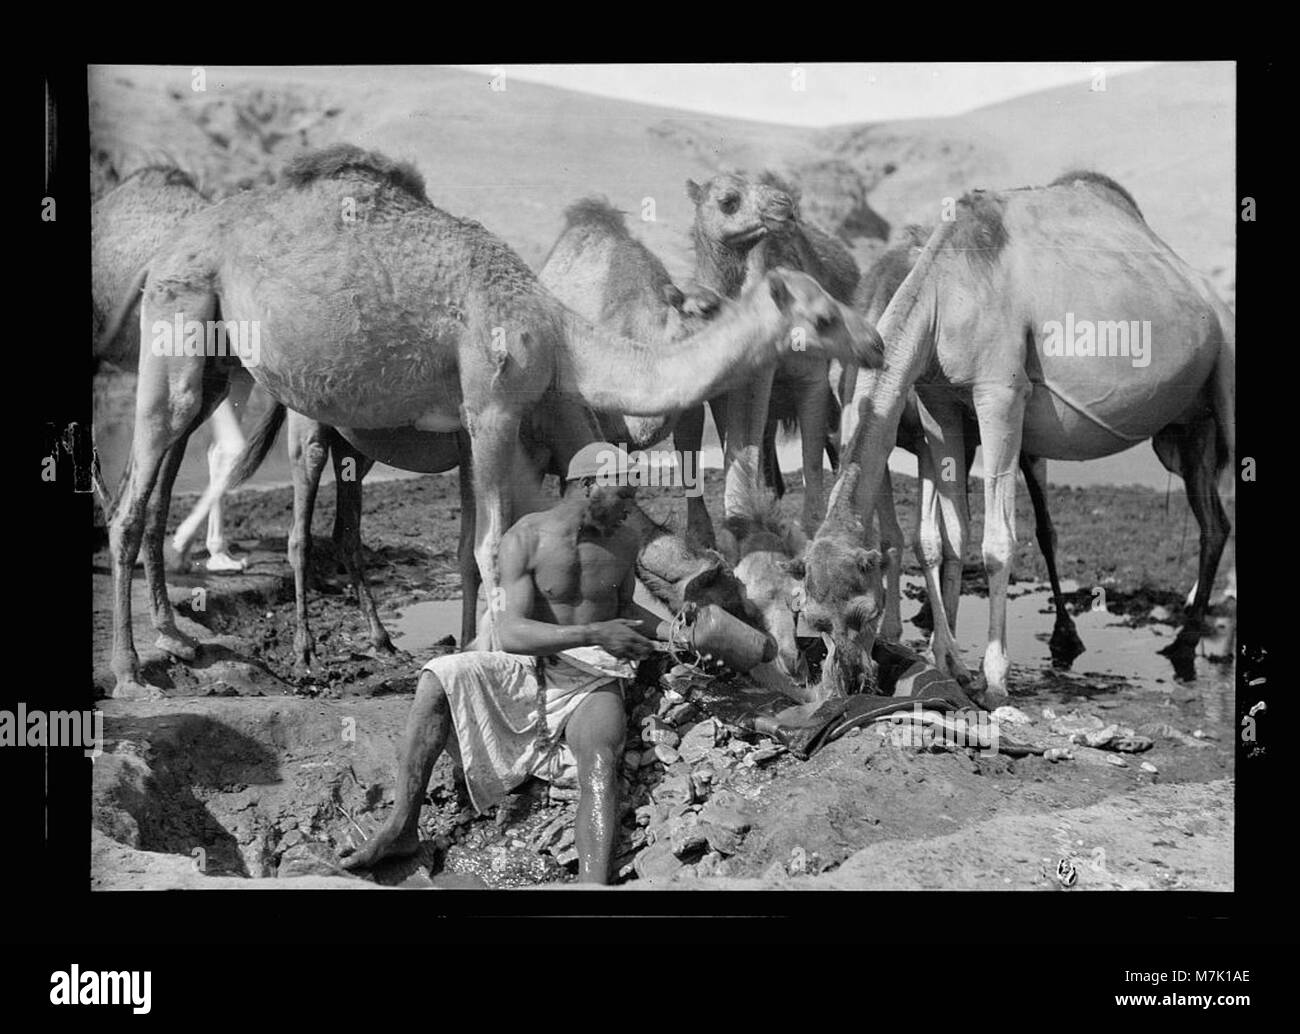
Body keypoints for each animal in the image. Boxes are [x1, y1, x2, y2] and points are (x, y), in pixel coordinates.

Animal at [111, 141, 878, 697]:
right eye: (821, 315)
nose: (871, 341)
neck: (560, 332)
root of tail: (173, 244)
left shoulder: (499, 434)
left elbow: (473, 550)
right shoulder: (492, 412)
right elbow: (488, 548)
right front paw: (496, 655)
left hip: (221, 364)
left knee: (165, 482)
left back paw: (180, 636)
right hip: (190, 329)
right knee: (153, 502)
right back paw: (143, 671)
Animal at [816, 174, 1232, 702]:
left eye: (866, 611)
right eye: (812, 618)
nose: (847, 683)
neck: (941, 292)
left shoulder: (1000, 391)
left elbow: (996, 543)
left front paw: (995, 677)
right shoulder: (939, 402)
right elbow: (947, 537)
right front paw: (949, 662)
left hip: (1228, 368)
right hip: (1186, 430)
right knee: (1214, 522)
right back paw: (1183, 642)